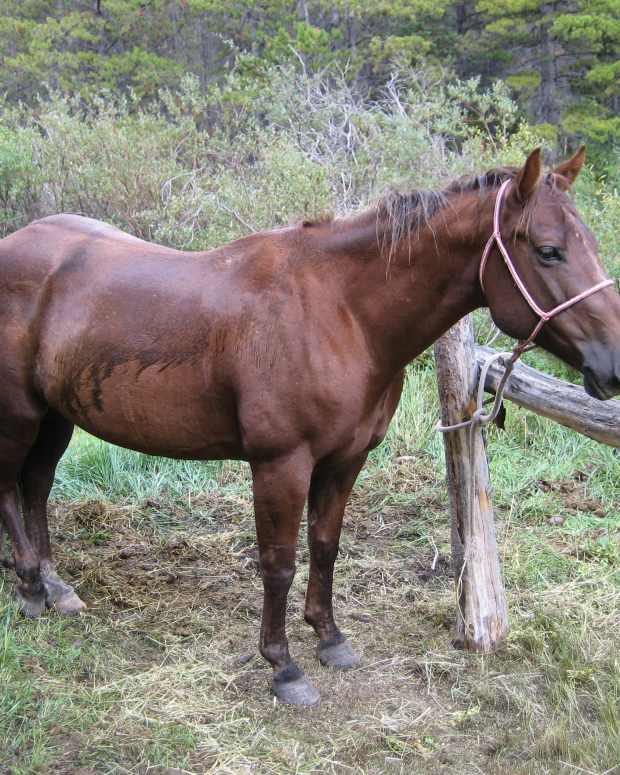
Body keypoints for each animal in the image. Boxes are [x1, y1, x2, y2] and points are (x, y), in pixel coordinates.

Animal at [0, 147, 618, 705]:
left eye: (590, 245)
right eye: (549, 251)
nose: (613, 364)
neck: (341, 313)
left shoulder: (346, 459)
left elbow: (325, 546)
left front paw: (329, 638)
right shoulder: (282, 464)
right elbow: (279, 564)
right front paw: (283, 667)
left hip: (56, 416)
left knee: (36, 487)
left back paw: (56, 587)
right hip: (20, 414)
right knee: (11, 488)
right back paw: (30, 588)